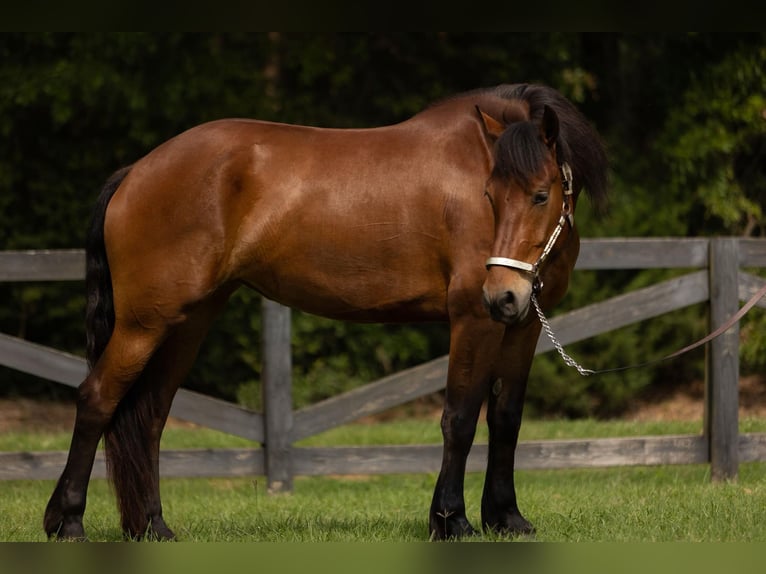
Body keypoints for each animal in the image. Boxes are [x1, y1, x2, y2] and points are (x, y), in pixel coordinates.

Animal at [43, 83, 608, 544]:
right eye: (490, 195)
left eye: (540, 195)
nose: (502, 292)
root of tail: (135, 172)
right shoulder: (475, 319)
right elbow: (460, 418)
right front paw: (452, 520)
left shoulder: (523, 325)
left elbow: (506, 418)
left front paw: (507, 518)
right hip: (145, 323)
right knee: (97, 399)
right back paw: (67, 522)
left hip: (187, 322)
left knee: (150, 415)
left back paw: (154, 527)